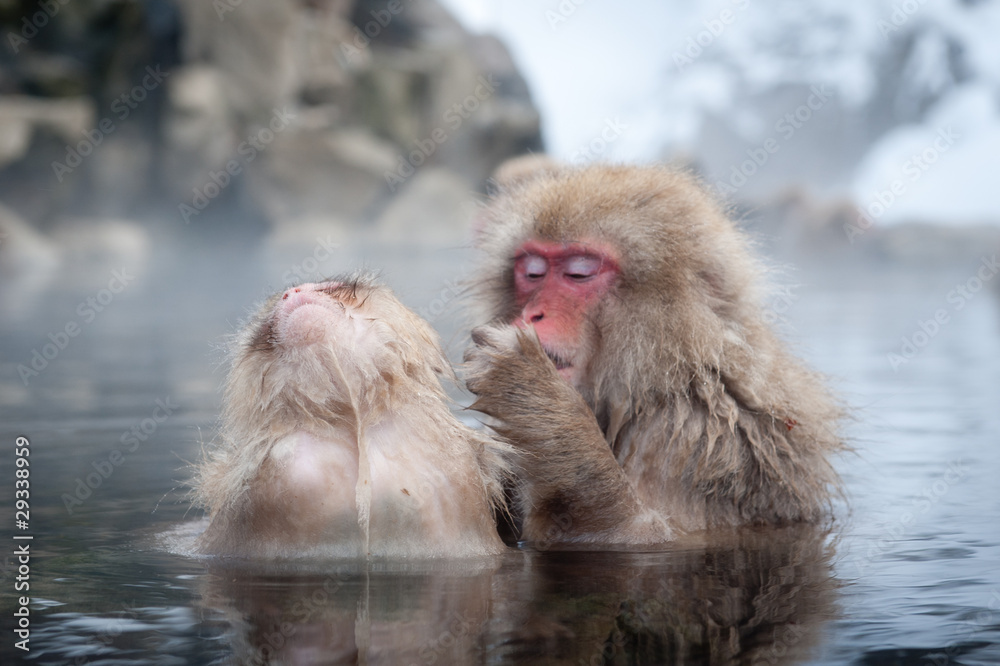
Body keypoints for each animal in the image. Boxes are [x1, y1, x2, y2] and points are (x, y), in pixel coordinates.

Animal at [194, 275, 509, 558]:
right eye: (267, 326)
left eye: (333, 288)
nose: (294, 291)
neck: (356, 424)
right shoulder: (288, 468)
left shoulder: (454, 471)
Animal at [463, 160, 845, 547]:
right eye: (533, 273)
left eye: (579, 273)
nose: (532, 315)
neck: (666, 373)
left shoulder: (697, 439)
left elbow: (645, 535)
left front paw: (538, 401)